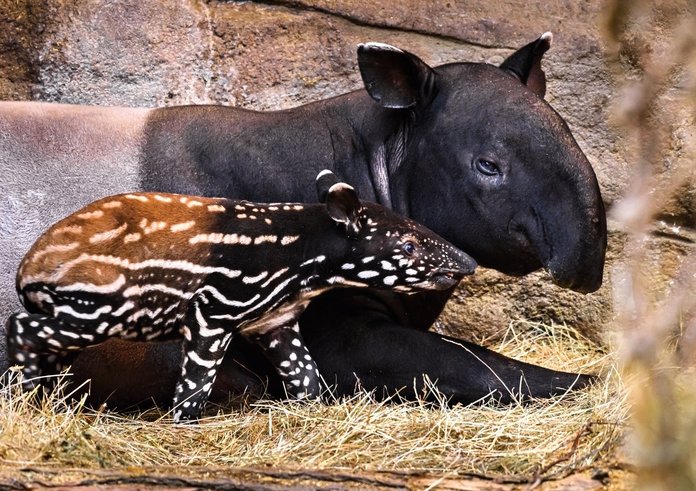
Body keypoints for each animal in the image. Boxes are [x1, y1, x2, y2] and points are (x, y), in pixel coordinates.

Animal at [5, 171, 476, 420]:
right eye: (409, 246)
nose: (468, 262)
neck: (299, 256)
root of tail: (28, 267)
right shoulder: (214, 313)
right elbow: (195, 385)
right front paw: (184, 423)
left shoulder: (275, 321)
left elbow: (306, 375)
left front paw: (311, 412)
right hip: (94, 307)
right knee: (21, 326)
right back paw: (22, 396)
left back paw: (45, 400)